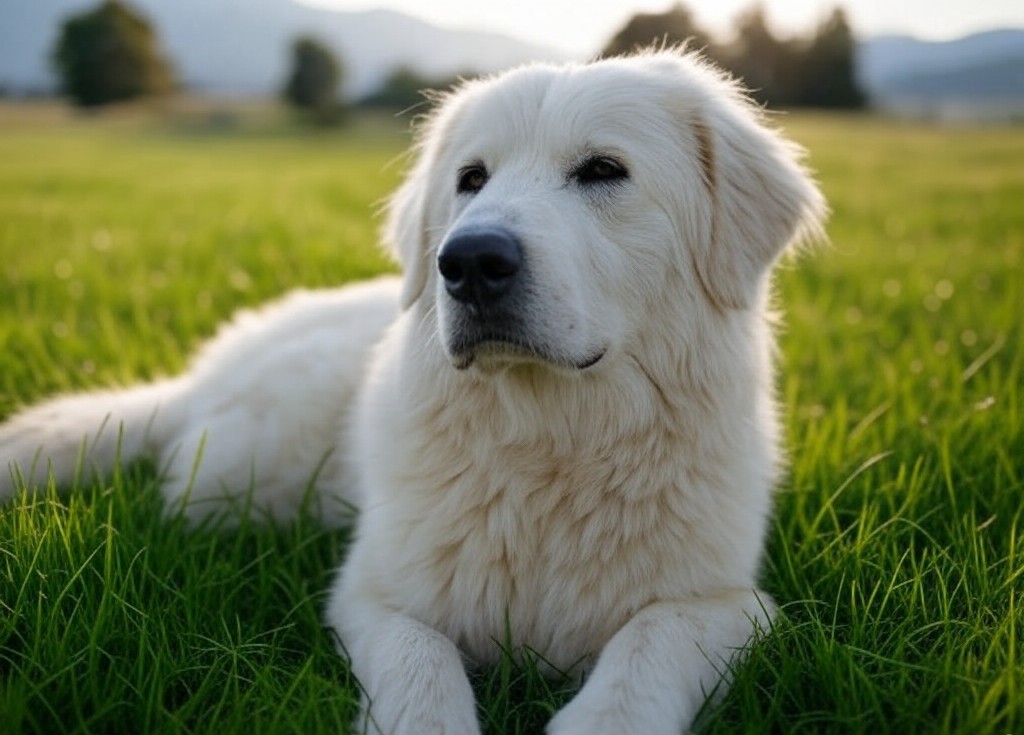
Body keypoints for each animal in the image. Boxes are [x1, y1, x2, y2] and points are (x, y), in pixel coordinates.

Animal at [0, 51, 823, 735]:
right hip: (240, 479)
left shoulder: (730, 604)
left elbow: (649, 644)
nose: (469, 262)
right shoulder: (376, 592)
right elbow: (421, 663)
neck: (551, 445)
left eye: (602, 170)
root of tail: (208, 374)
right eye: (471, 179)